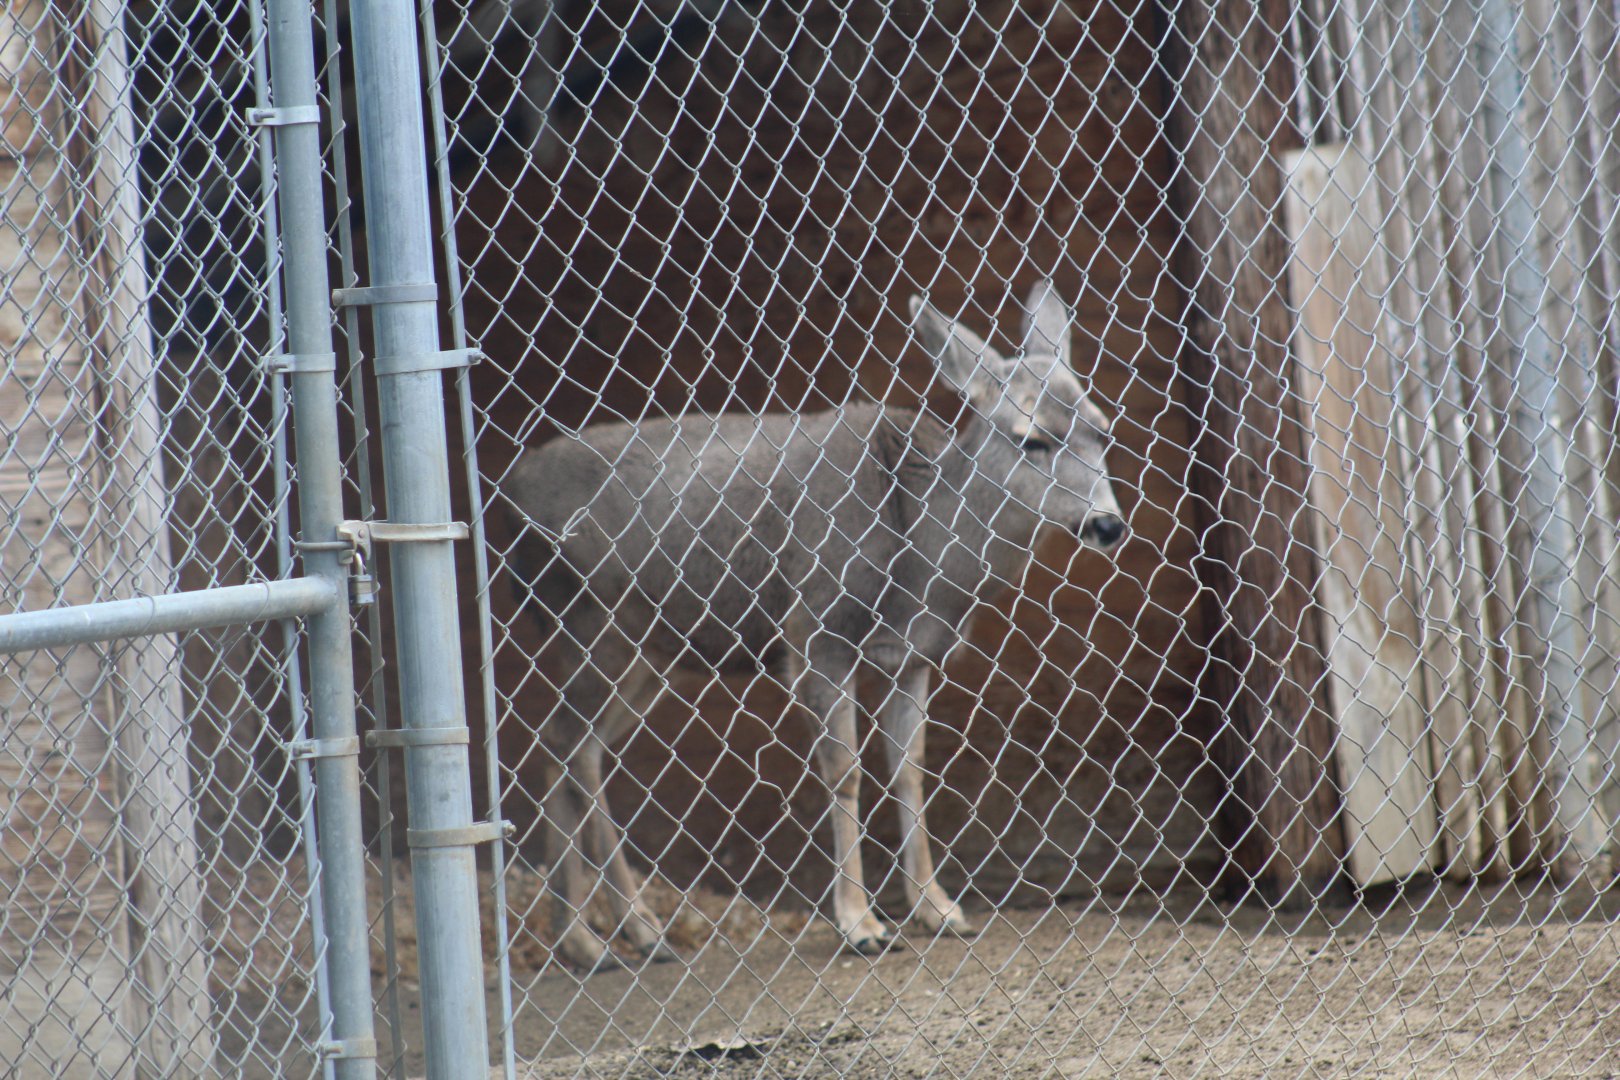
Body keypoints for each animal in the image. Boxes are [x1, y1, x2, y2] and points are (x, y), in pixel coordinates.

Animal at [506, 281, 1126, 970]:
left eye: (1103, 428)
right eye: (1031, 438)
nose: (1108, 523)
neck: (920, 558)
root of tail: (507, 495)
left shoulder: (915, 654)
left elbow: (910, 766)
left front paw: (938, 907)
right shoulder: (816, 632)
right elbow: (845, 769)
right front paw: (861, 923)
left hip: (651, 652)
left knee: (563, 746)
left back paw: (586, 939)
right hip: (595, 623)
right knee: (571, 747)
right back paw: (631, 928)